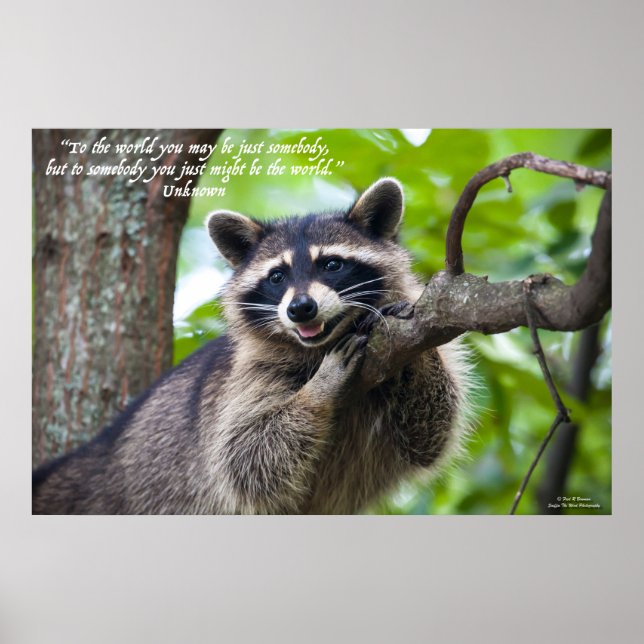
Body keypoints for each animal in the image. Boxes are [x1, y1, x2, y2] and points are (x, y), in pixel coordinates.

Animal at [32, 178, 471, 514]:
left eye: (332, 265)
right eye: (277, 276)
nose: (300, 308)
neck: (323, 342)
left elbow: (428, 435)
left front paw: (418, 354)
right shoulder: (246, 379)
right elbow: (248, 456)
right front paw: (319, 391)